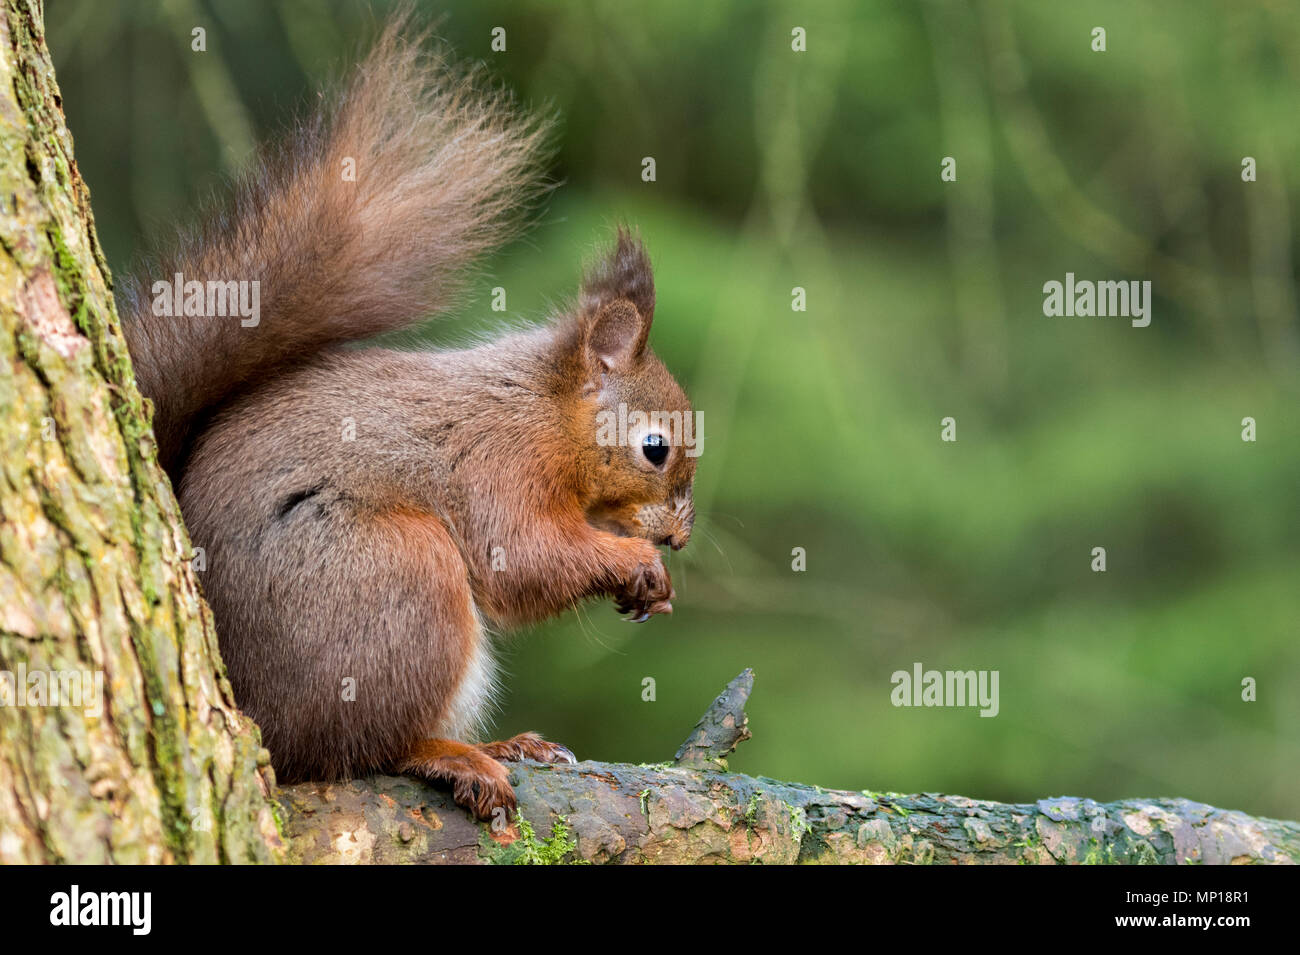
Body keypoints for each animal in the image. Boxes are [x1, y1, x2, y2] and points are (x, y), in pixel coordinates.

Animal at [116, 18, 696, 815]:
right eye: (654, 448)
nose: (679, 536)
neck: (542, 409)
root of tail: (251, 705)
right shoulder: (497, 462)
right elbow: (523, 559)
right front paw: (632, 562)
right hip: (396, 575)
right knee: (357, 748)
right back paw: (454, 756)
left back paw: (505, 744)